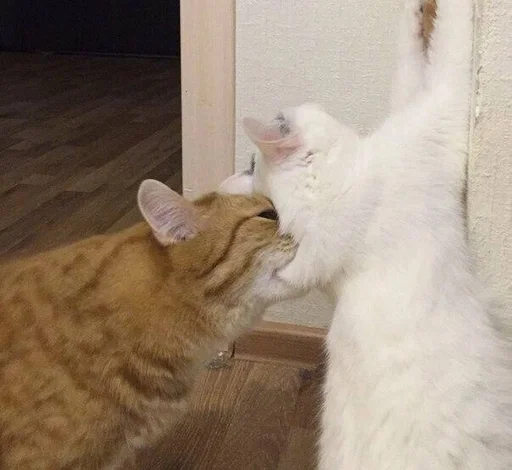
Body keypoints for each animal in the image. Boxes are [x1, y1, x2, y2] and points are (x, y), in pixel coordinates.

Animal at [220, 0, 512, 469]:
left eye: (249, 166)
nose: (235, 176)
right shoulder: (439, 108)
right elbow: (450, 44)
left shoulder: (411, 105)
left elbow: (408, 61)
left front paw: (412, 12)